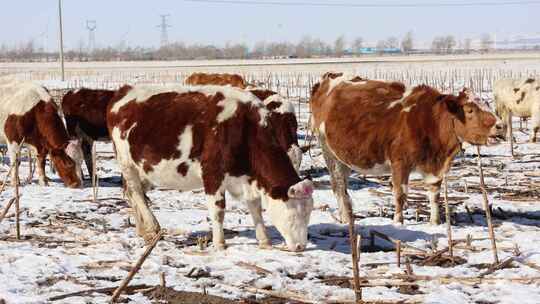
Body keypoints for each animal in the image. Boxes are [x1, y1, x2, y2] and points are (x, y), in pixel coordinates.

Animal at [107, 83, 314, 252]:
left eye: (308, 213)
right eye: (292, 214)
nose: (300, 247)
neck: (245, 126)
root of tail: (124, 92)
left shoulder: (247, 178)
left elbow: (255, 208)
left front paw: (264, 241)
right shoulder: (213, 173)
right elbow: (219, 210)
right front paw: (220, 243)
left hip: (145, 169)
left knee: (131, 192)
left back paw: (142, 230)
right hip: (126, 162)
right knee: (135, 192)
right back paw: (152, 228)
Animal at [310, 73, 500, 226]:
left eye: (488, 105)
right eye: (470, 110)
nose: (500, 126)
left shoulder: (435, 169)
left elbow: (434, 196)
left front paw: (435, 222)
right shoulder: (400, 162)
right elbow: (400, 194)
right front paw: (398, 222)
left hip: (343, 158)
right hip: (329, 153)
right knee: (338, 186)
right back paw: (346, 219)